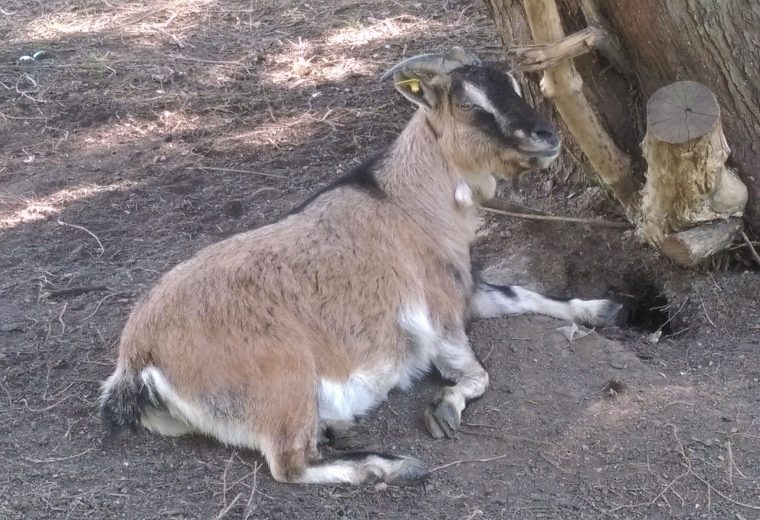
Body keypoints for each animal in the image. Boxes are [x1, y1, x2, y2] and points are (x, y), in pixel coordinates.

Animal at [101, 46, 620, 486]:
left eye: (512, 85)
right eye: (466, 104)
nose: (546, 137)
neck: (405, 199)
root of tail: (137, 360)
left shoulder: (465, 290)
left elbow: (522, 293)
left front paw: (599, 308)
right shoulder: (440, 316)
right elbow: (475, 375)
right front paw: (444, 408)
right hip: (283, 382)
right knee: (288, 464)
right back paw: (390, 466)